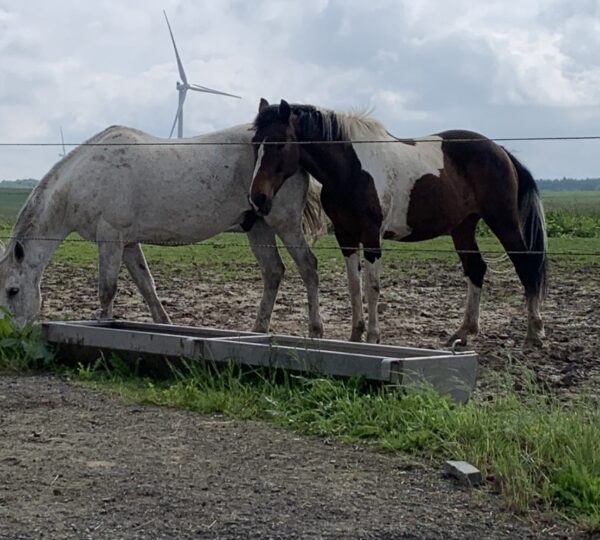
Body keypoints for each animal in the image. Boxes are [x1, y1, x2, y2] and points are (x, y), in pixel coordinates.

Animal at [0, 122, 324, 336]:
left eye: (12, 290)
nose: (13, 333)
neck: (81, 180)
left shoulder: (111, 239)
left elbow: (107, 290)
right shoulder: (128, 244)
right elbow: (147, 286)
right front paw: (166, 326)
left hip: (285, 223)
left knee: (308, 267)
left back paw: (316, 331)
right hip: (258, 227)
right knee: (273, 272)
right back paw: (258, 330)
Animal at [248, 98, 548, 346]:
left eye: (279, 143)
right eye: (254, 144)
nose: (257, 197)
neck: (351, 168)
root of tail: (500, 150)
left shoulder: (371, 235)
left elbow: (372, 286)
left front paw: (372, 336)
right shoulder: (346, 236)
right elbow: (354, 285)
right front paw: (355, 335)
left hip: (503, 221)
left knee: (526, 266)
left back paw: (534, 333)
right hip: (463, 227)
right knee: (476, 269)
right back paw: (464, 332)